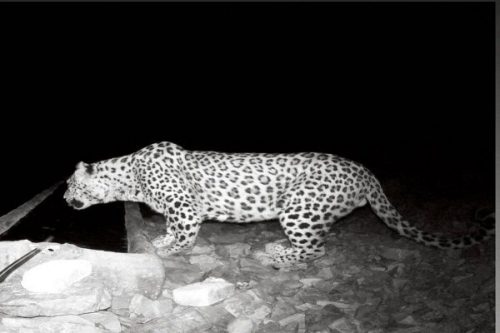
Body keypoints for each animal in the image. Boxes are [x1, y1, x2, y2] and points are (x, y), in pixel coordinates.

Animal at [62, 140, 492, 268]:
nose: (64, 199)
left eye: (70, 185)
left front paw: (167, 249)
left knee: (316, 249)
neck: (128, 179)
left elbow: (182, 233)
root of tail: (367, 172)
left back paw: (275, 252)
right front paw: (164, 242)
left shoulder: (185, 206)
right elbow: (172, 229)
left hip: (300, 208)